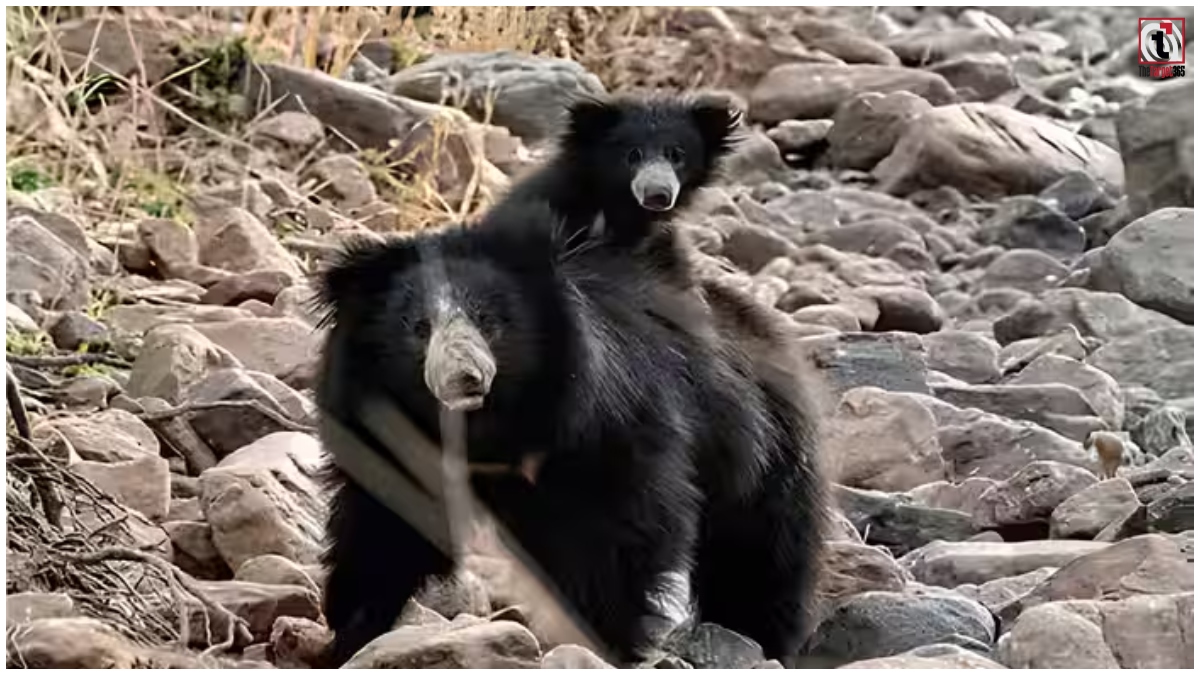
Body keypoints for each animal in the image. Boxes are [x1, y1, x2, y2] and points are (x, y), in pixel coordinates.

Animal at [313, 199, 826, 666]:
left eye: (489, 321)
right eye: (419, 327)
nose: (464, 379)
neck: (484, 428)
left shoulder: (607, 426)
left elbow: (618, 535)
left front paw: (603, 641)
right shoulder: (385, 433)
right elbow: (384, 525)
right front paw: (349, 634)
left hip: (764, 455)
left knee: (758, 557)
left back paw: (760, 637)